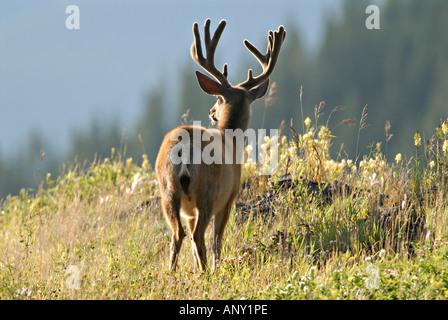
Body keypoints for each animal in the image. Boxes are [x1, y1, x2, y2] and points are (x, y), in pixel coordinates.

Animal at [156, 18, 286, 272]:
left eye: (217, 98)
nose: (211, 112)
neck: (231, 138)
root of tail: (185, 147)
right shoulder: (229, 197)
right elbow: (218, 239)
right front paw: (216, 267)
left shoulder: (189, 210)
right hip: (208, 191)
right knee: (198, 236)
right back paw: (207, 273)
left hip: (167, 190)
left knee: (178, 235)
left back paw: (173, 273)